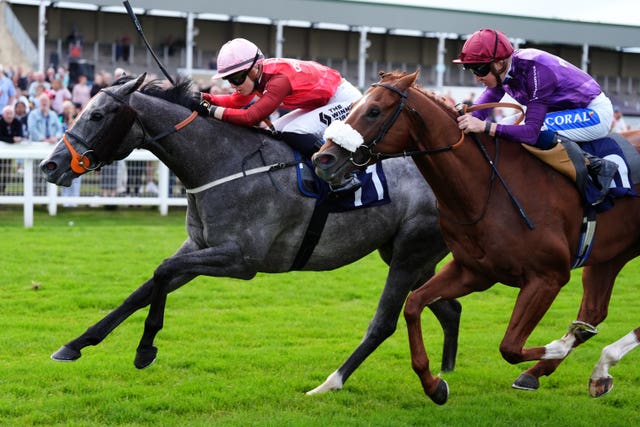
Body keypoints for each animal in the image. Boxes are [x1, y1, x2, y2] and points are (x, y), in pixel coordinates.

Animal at [38, 72, 460, 394]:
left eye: (97, 115)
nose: (49, 165)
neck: (221, 164)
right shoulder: (199, 247)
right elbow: (144, 288)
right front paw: (75, 344)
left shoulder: (240, 260)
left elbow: (161, 270)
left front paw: (144, 349)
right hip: (404, 253)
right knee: (445, 306)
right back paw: (447, 369)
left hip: (409, 253)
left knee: (386, 321)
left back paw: (332, 383)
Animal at [312, 71, 640, 404]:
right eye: (353, 107)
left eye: (374, 110)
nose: (323, 158)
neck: (488, 189)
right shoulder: (474, 271)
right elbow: (413, 305)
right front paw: (434, 385)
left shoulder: (548, 277)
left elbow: (509, 347)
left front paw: (563, 342)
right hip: (612, 255)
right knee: (594, 310)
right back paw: (578, 371)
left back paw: (598, 358)